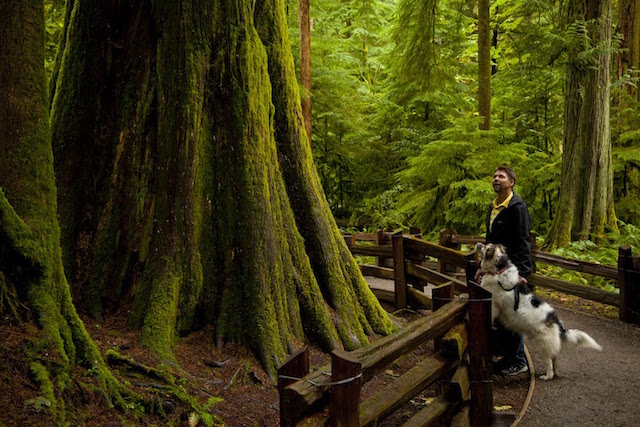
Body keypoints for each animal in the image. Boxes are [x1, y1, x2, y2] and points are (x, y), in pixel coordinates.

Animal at [472, 244, 604, 382]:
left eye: (487, 248)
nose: (478, 244)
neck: (499, 271)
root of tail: (556, 321)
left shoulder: (494, 304)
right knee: (554, 359)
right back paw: (555, 373)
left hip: (542, 345)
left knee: (549, 363)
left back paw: (547, 376)